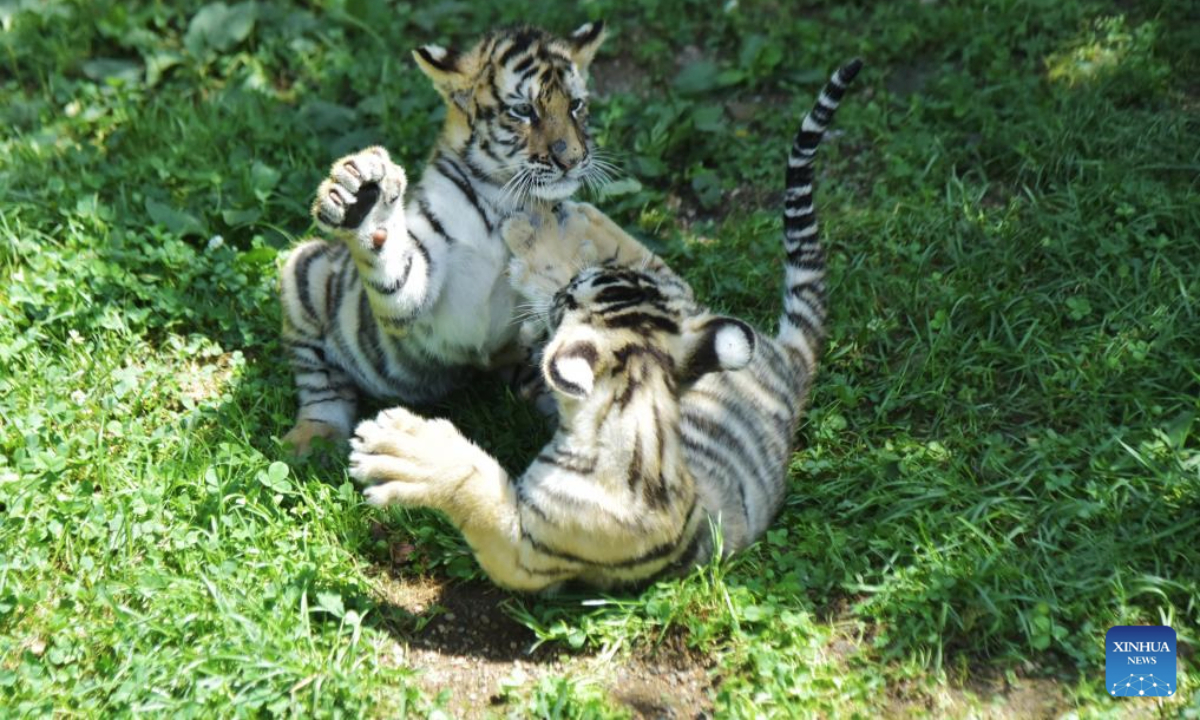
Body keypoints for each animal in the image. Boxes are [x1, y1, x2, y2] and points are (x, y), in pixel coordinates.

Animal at [278, 22, 610, 455]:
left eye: (576, 105)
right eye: (524, 110)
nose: (571, 159)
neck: (505, 201)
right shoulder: (419, 287)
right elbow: (396, 276)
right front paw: (367, 205)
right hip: (306, 273)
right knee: (321, 381)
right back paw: (313, 437)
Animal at [347, 59, 863, 591]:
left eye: (567, 303)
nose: (562, 292)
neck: (637, 410)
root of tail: (792, 363)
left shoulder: (527, 550)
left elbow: (474, 482)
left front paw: (397, 448)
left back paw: (536, 222)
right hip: (686, 308)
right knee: (660, 266)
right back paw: (556, 215)